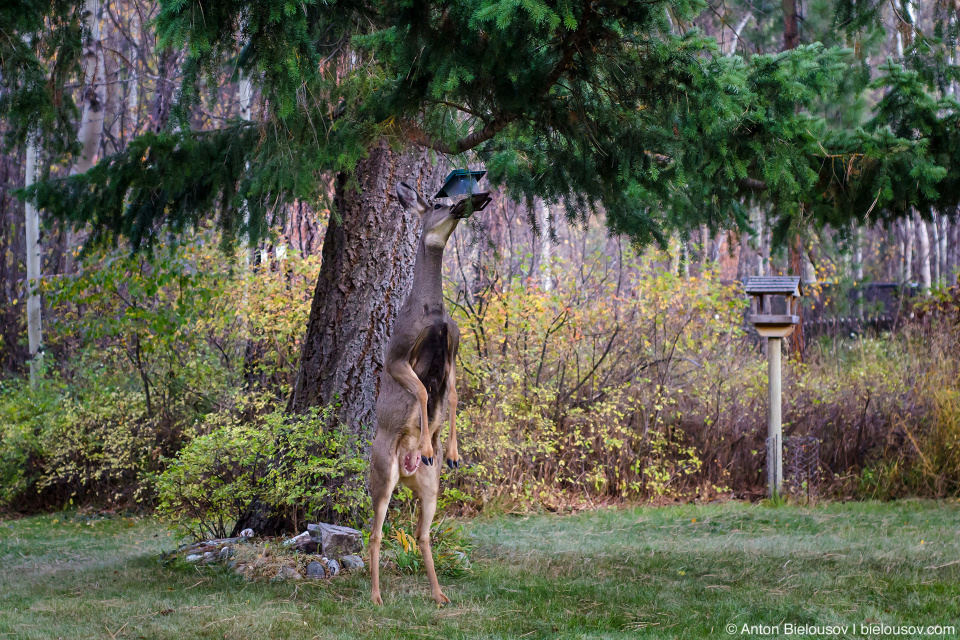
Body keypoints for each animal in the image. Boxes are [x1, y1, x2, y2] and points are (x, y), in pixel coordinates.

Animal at [368, 179, 480, 604]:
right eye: (435, 203)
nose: (463, 205)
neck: (431, 310)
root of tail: (406, 472)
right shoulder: (397, 355)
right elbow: (420, 392)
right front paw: (429, 445)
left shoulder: (452, 355)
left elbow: (452, 398)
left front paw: (451, 453)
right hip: (381, 474)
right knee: (375, 532)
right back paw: (376, 597)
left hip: (430, 488)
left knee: (422, 534)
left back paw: (439, 595)